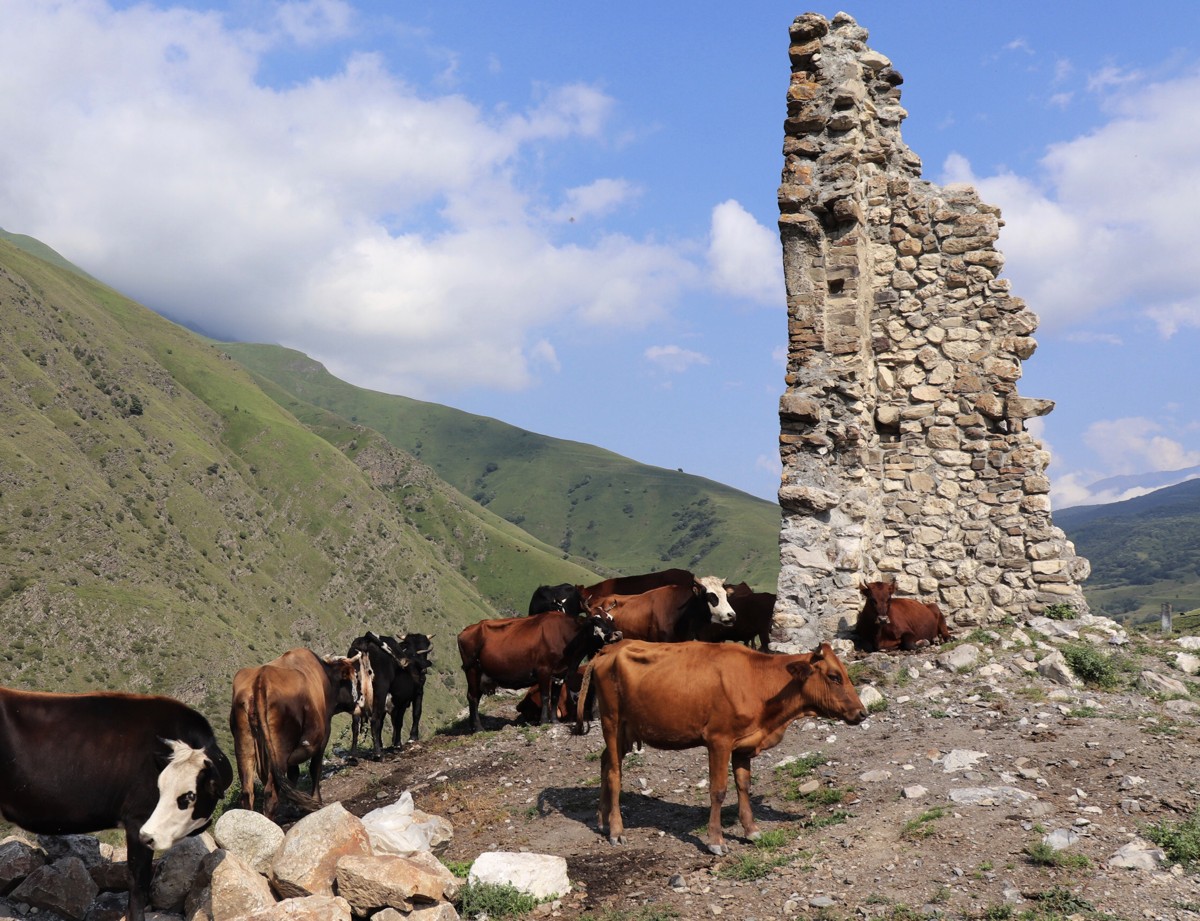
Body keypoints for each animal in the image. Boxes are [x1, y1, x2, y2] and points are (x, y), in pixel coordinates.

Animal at [228, 647, 369, 820]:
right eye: (355, 676)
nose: (362, 700)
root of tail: (260, 679)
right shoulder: (322, 739)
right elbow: (315, 769)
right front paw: (316, 800)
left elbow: (293, 775)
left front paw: (293, 807)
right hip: (279, 751)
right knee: (270, 793)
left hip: (244, 747)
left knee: (247, 793)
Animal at [453, 611, 614, 733]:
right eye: (596, 622)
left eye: (610, 620)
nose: (615, 635)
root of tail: (465, 631)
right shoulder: (543, 670)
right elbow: (545, 696)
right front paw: (544, 721)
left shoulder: (560, 673)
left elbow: (554, 697)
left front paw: (554, 720)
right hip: (472, 670)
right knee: (472, 698)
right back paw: (478, 728)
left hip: (482, 676)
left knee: (475, 697)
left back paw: (473, 727)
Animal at [578, 642, 864, 853]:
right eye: (834, 677)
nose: (862, 712)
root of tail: (609, 649)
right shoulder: (718, 741)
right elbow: (718, 790)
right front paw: (716, 841)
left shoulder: (743, 745)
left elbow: (744, 786)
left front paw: (752, 831)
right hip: (611, 720)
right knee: (614, 773)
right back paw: (616, 830)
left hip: (628, 729)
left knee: (605, 761)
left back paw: (602, 820)